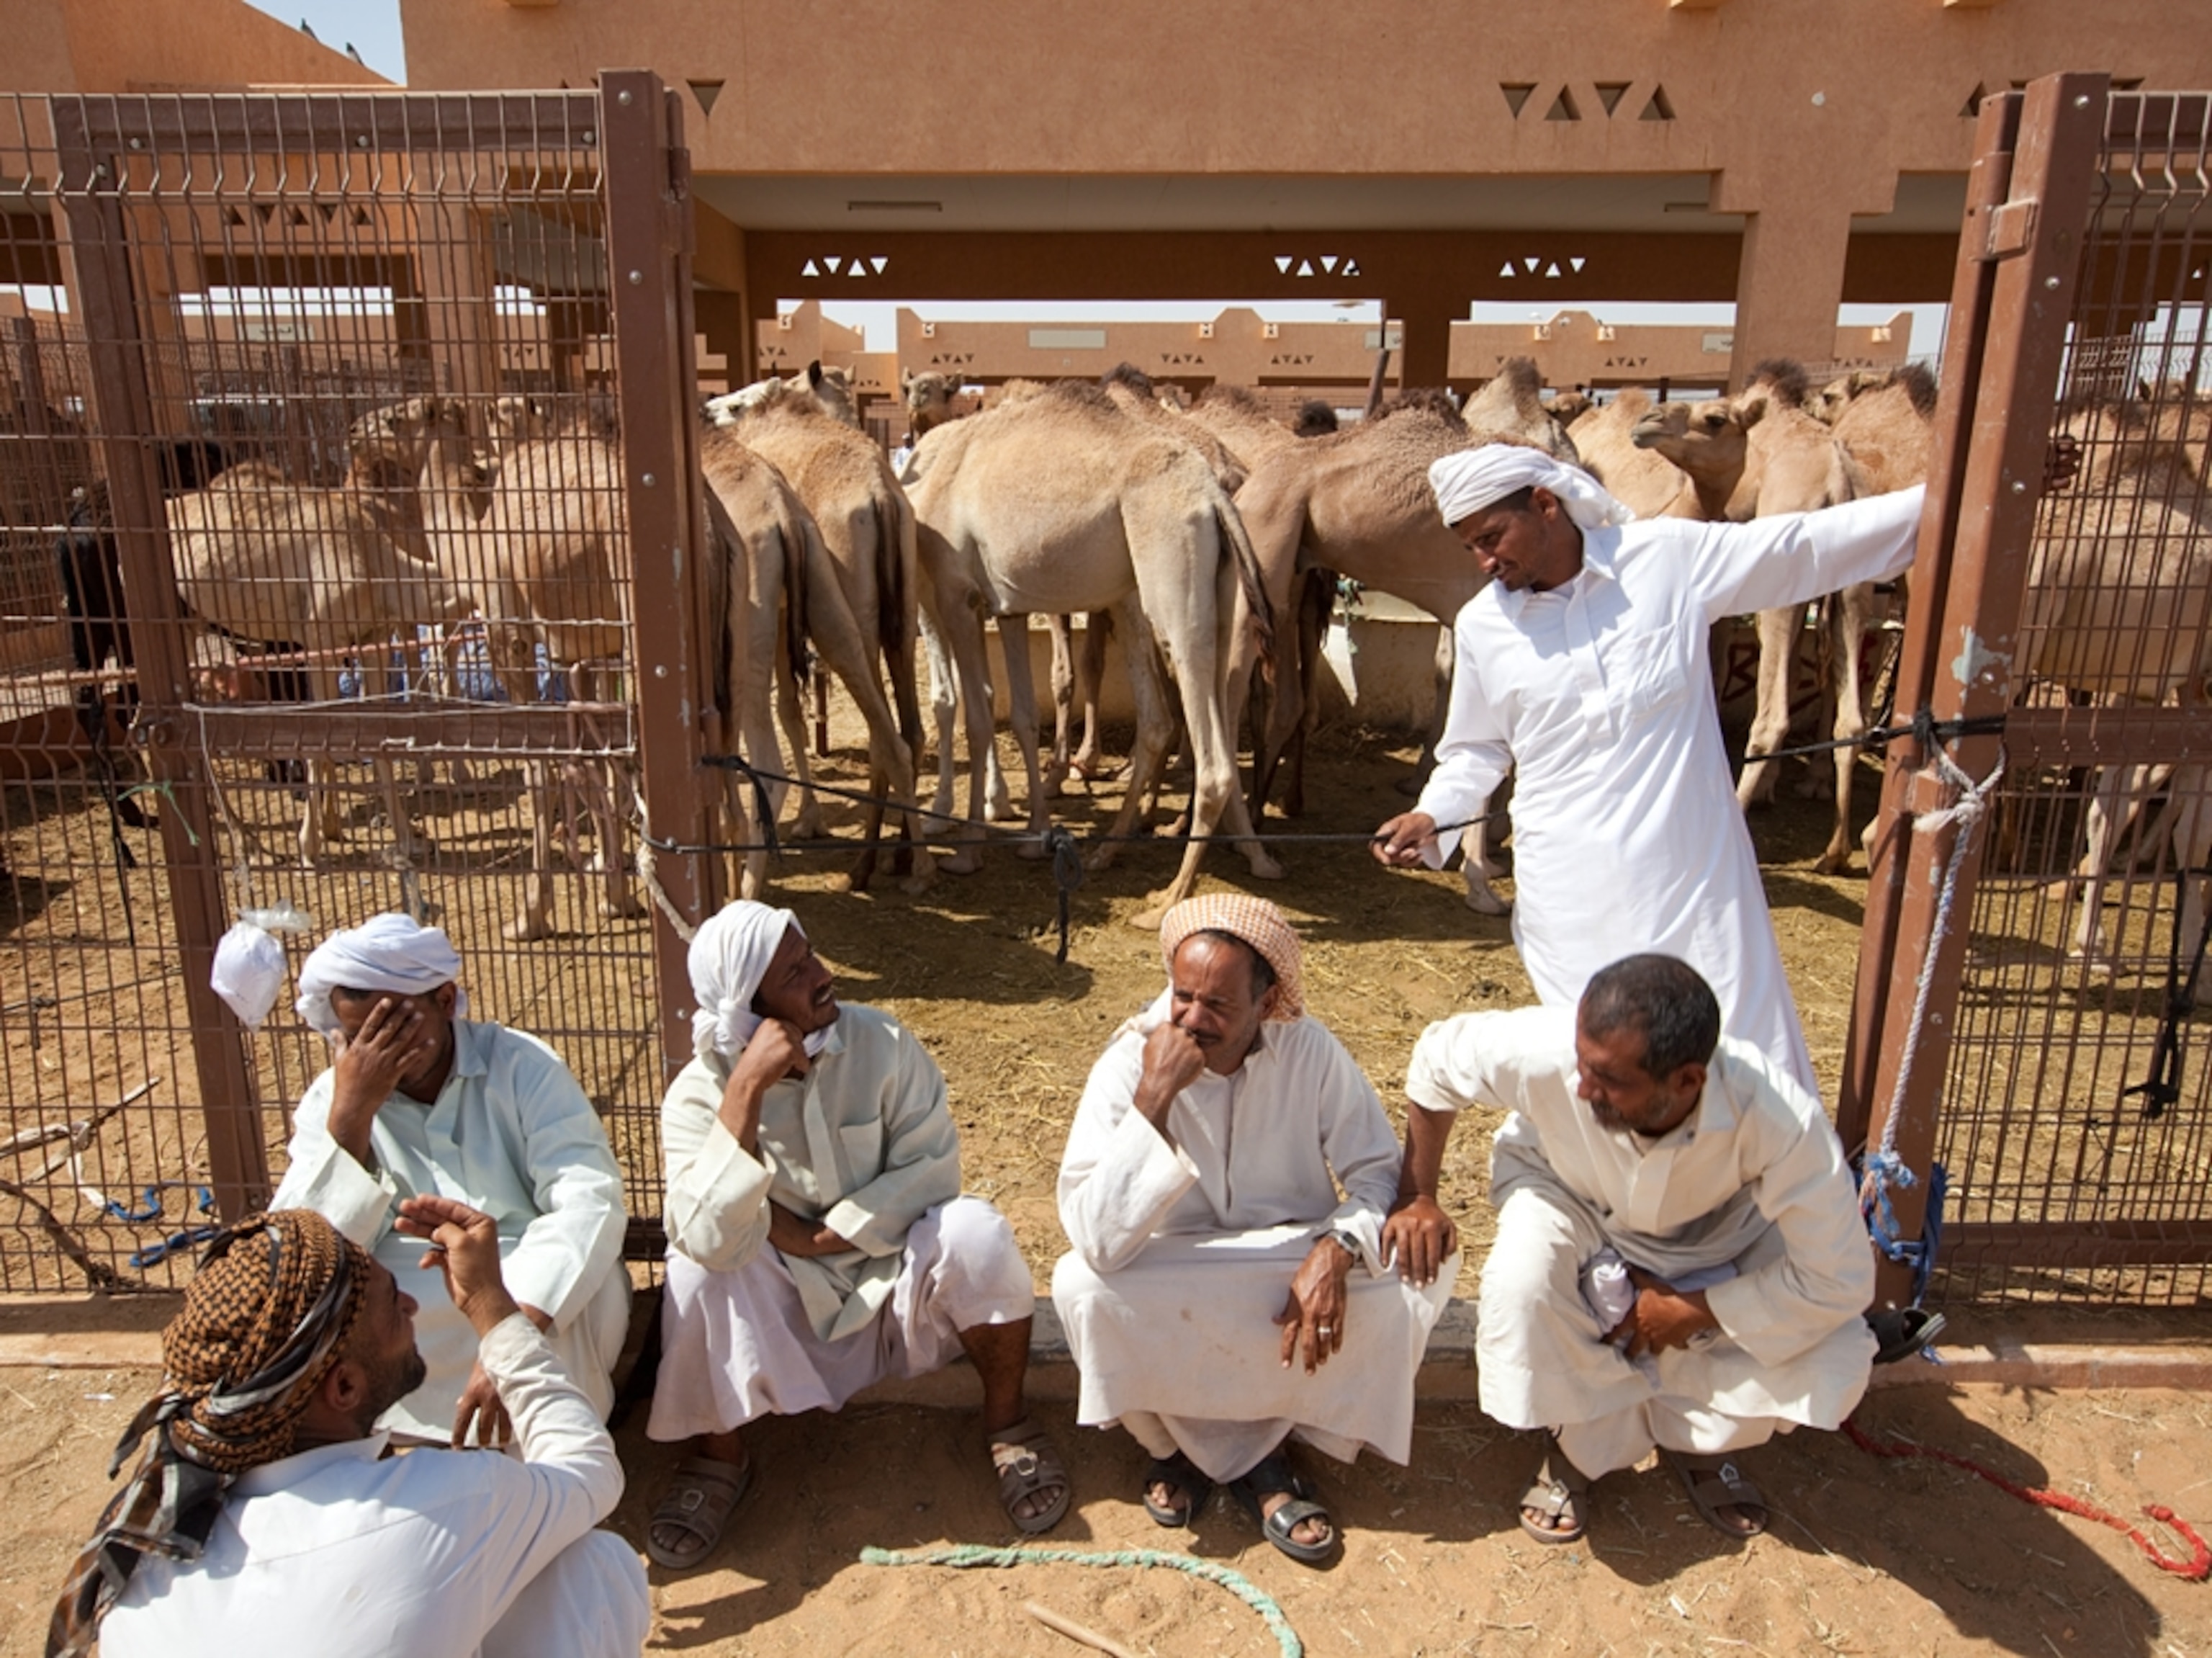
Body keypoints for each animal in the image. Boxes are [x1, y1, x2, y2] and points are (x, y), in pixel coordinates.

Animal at [902, 379, 1278, 926]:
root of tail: (1214, 497)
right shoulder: (1008, 605)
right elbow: (1018, 713)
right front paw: (1034, 835)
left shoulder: (957, 596)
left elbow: (977, 716)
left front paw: (968, 849)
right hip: (1188, 597)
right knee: (1173, 719)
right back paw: (1119, 850)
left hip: (1170, 583)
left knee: (1211, 753)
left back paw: (1170, 898)